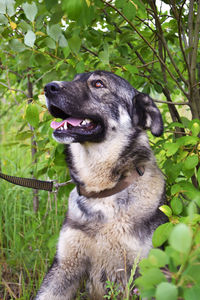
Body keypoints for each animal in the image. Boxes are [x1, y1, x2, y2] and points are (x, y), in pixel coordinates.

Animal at [36, 71, 167, 298]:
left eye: (98, 84)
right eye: (74, 78)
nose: (48, 87)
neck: (103, 191)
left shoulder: (145, 274)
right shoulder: (64, 267)